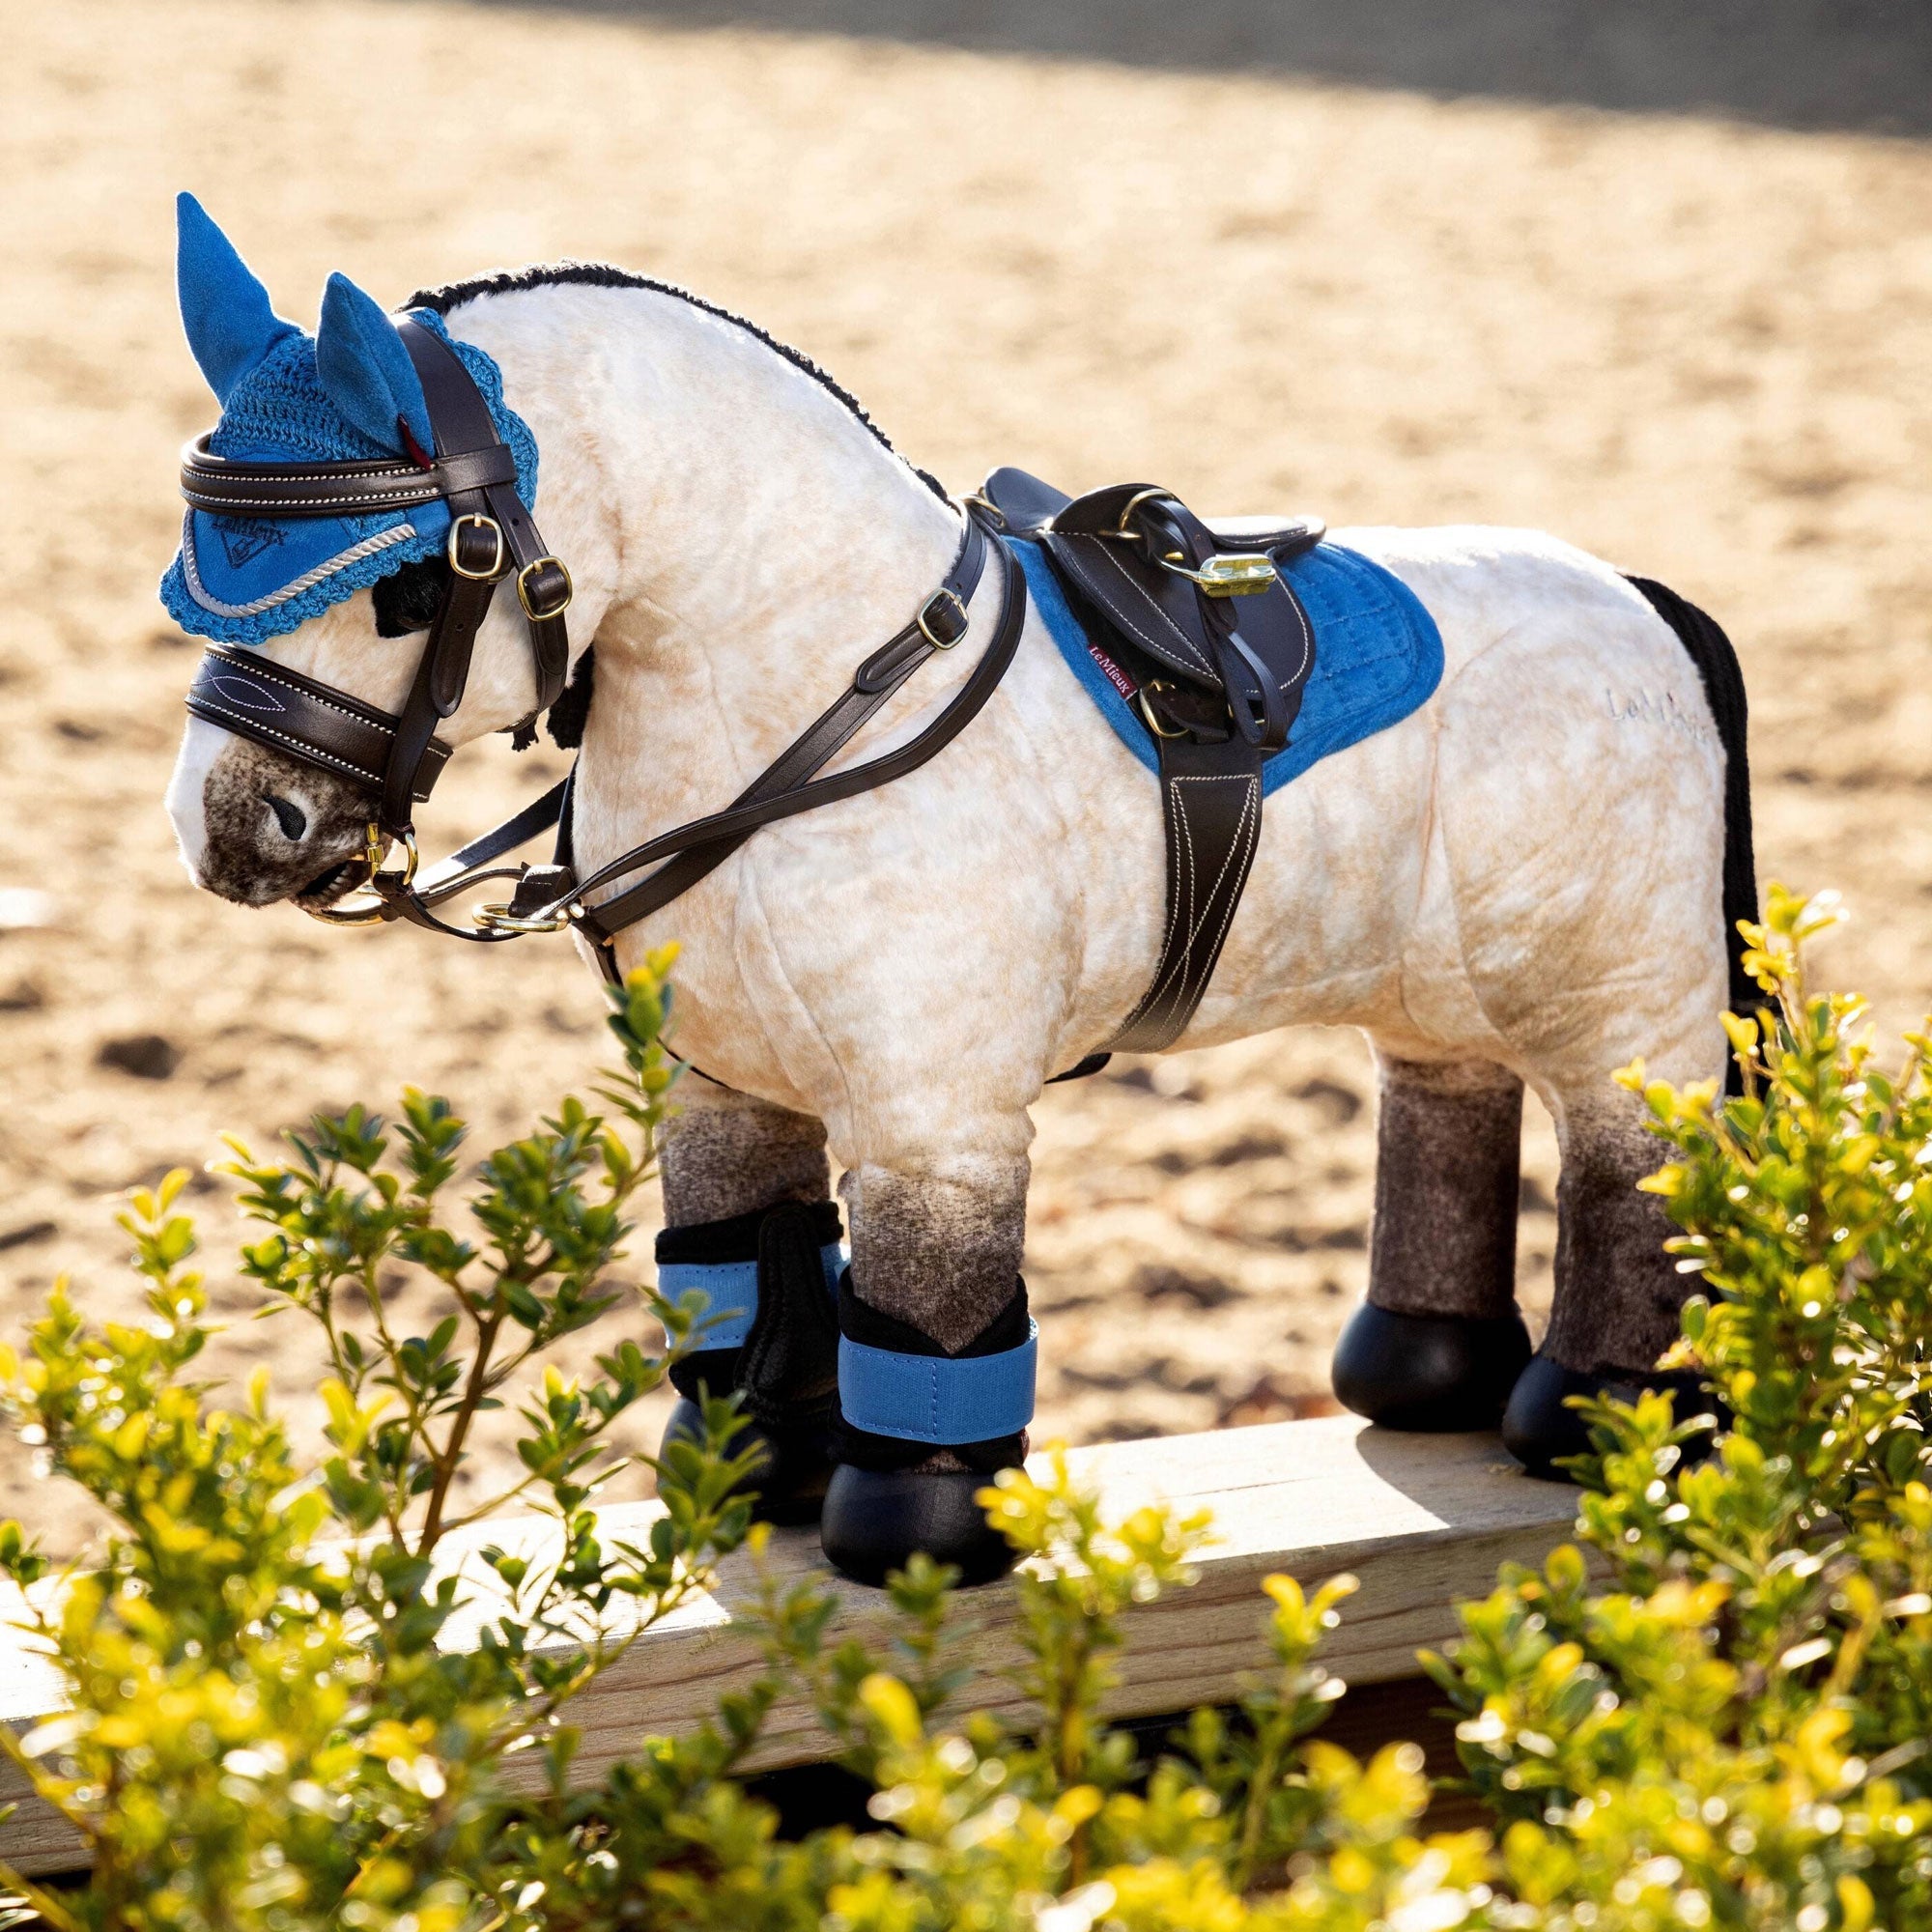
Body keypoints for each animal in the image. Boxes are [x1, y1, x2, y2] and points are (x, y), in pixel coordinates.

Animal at [161, 196, 1753, 1585]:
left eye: (411, 585)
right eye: (195, 571)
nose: (230, 831)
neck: (810, 695)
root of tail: (1635, 592)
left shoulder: (937, 1124)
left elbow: (928, 1319)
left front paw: (913, 1541)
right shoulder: (723, 1089)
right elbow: (748, 1275)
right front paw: (752, 1479)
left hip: (1627, 1007)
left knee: (1629, 1165)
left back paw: (1606, 1415)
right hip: (1442, 985)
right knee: (1446, 1097)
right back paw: (1423, 1375)